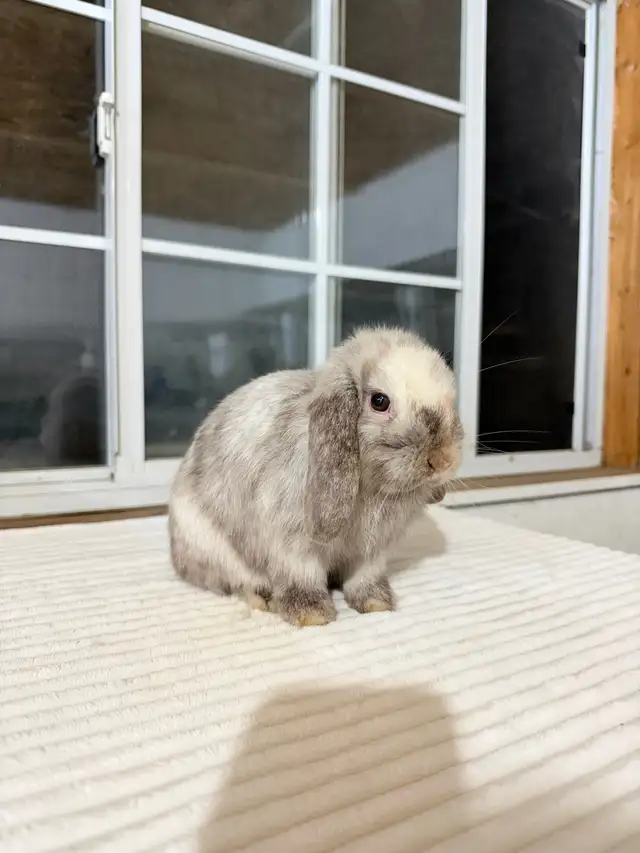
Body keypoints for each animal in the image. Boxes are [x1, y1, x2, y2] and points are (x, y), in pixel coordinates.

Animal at [169, 327, 463, 627]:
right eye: (379, 401)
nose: (442, 460)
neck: (369, 487)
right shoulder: (293, 545)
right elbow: (302, 576)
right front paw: (313, 615)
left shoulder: (371, 552)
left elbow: (364, 578)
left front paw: (376, 604)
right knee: (233, 581)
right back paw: (262, 598)